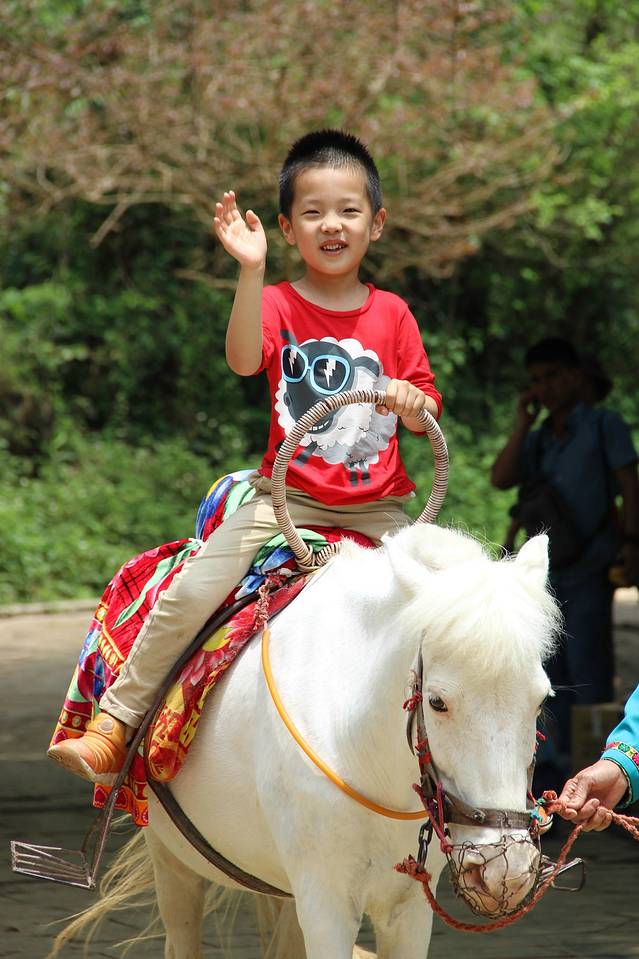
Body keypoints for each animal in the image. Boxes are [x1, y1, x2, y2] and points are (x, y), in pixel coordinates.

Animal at [51, 522, 559, 959]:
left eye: (540, 699)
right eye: (437, 702)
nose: (504, 869)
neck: (368, 757)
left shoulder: (409, 909)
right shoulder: (325, 903)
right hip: (172, 857)